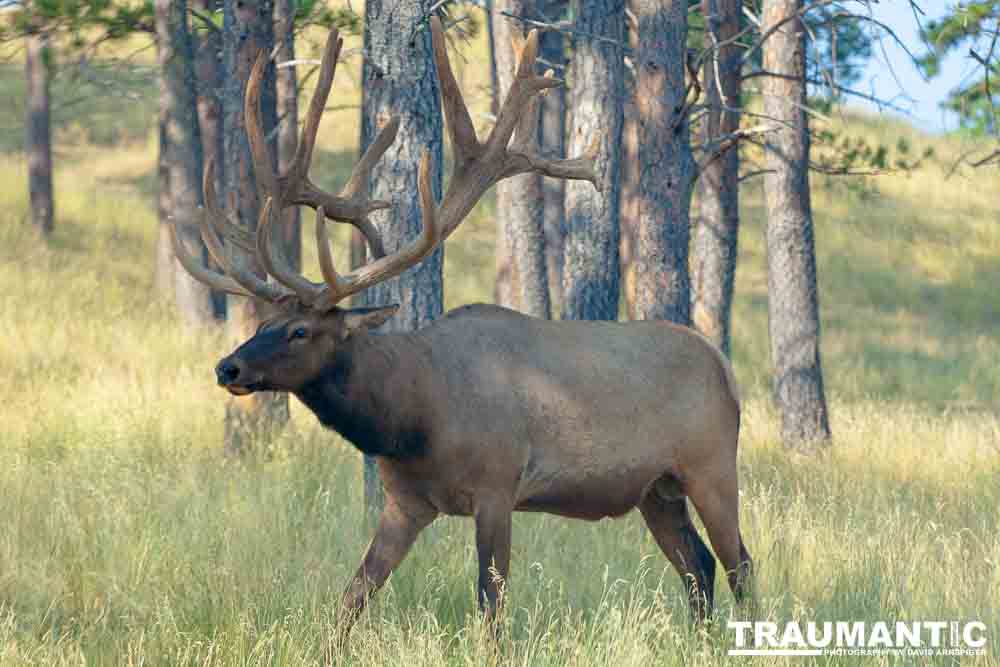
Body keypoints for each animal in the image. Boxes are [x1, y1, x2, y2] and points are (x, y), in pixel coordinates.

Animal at [170, 17, 752, 632]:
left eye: (300, 331)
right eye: (268, 318)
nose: (227, 367)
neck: (411, 418)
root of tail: (725, 366)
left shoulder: (497, 485)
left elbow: (490, 602)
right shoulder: (406, 502)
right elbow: (353, 596)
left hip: (712, 463)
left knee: (739, 563)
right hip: (655, 489)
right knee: (698, 567)